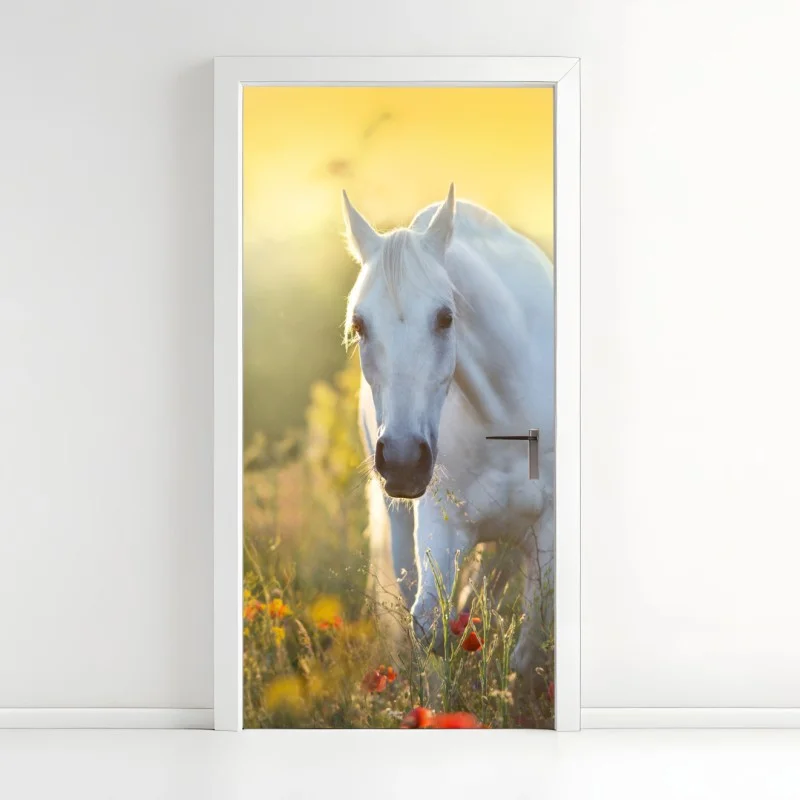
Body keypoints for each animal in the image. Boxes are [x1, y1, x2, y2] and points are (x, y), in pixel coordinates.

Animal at [341, 184, 554, 675]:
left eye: (445, 318)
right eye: (359, 325)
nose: (402, 460)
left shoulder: (548, 534)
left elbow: (528, 650)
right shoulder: (441, 522)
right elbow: (429, 627)